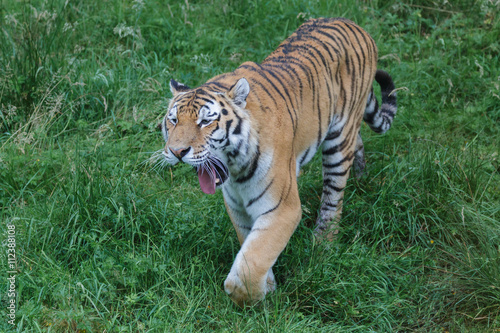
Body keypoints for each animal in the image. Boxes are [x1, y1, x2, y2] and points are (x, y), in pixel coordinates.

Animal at [162, 17, 396, 306]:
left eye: (205, 121)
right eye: (173, 120)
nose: (177, 151)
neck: (235, 170)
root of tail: (354, 24)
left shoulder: (282, 208)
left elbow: (252, 262)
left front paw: (255, 297)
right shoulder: (237, 208)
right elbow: (251, 247)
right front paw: (269, 286)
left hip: (338, 141)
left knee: (333, 196)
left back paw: (323, 243)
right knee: (358, 143)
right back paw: (361, 178)